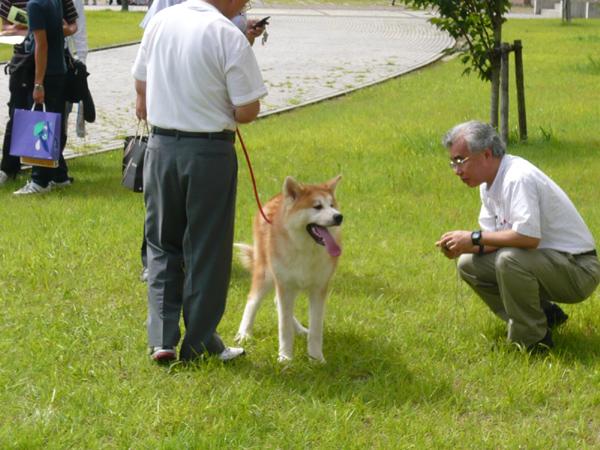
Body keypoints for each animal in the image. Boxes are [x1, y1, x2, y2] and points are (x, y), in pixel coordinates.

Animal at [237, 175, 344, 362]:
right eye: (317, 206)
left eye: (332, 205)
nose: (339, 217)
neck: (305, 250)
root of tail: (276, 198)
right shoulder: (284, 285)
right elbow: (284, 327)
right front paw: (285, 358)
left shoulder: (318, 288)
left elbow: (316, 328)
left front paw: (316, 359)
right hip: (267, 275)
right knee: (252, 300)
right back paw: (244, 333)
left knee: (276, 301)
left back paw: (301, 330)